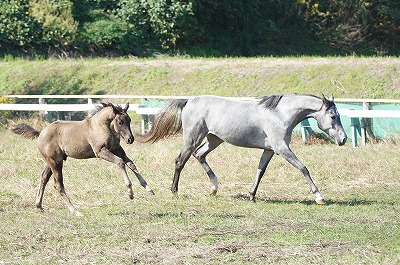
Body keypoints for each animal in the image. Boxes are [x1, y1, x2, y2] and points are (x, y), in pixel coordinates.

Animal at [138, 94, 346, 203]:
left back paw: (214, 187)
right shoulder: (281, 148)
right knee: (181, 160)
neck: (280, 113)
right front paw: (319, 197)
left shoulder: (270, 150)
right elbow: (303, 168)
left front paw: (252, 196)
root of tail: (189, 101)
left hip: (214, 139)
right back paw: (174, 191)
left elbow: (260, 172)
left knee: (200, 155)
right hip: (192, 138)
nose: (343, 139)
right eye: (333, 116)